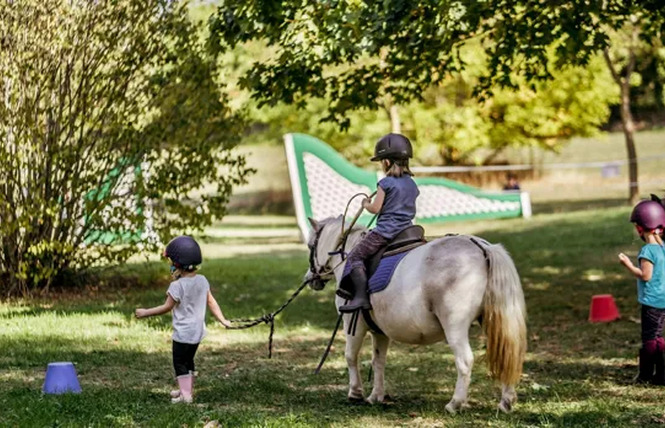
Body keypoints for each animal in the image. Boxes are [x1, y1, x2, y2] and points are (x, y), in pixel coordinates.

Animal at [304, 217, 528, 414]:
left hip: (454, 326)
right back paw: (506, 402)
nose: (310, 278)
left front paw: (355, 393)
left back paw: (455, 404)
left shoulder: (353, 323)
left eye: (309, 245)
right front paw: (376, 396)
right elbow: (378, 361)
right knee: (507, 355)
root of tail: (480, 246)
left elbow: (351, 356)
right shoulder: (380, 332)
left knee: (465, 361)